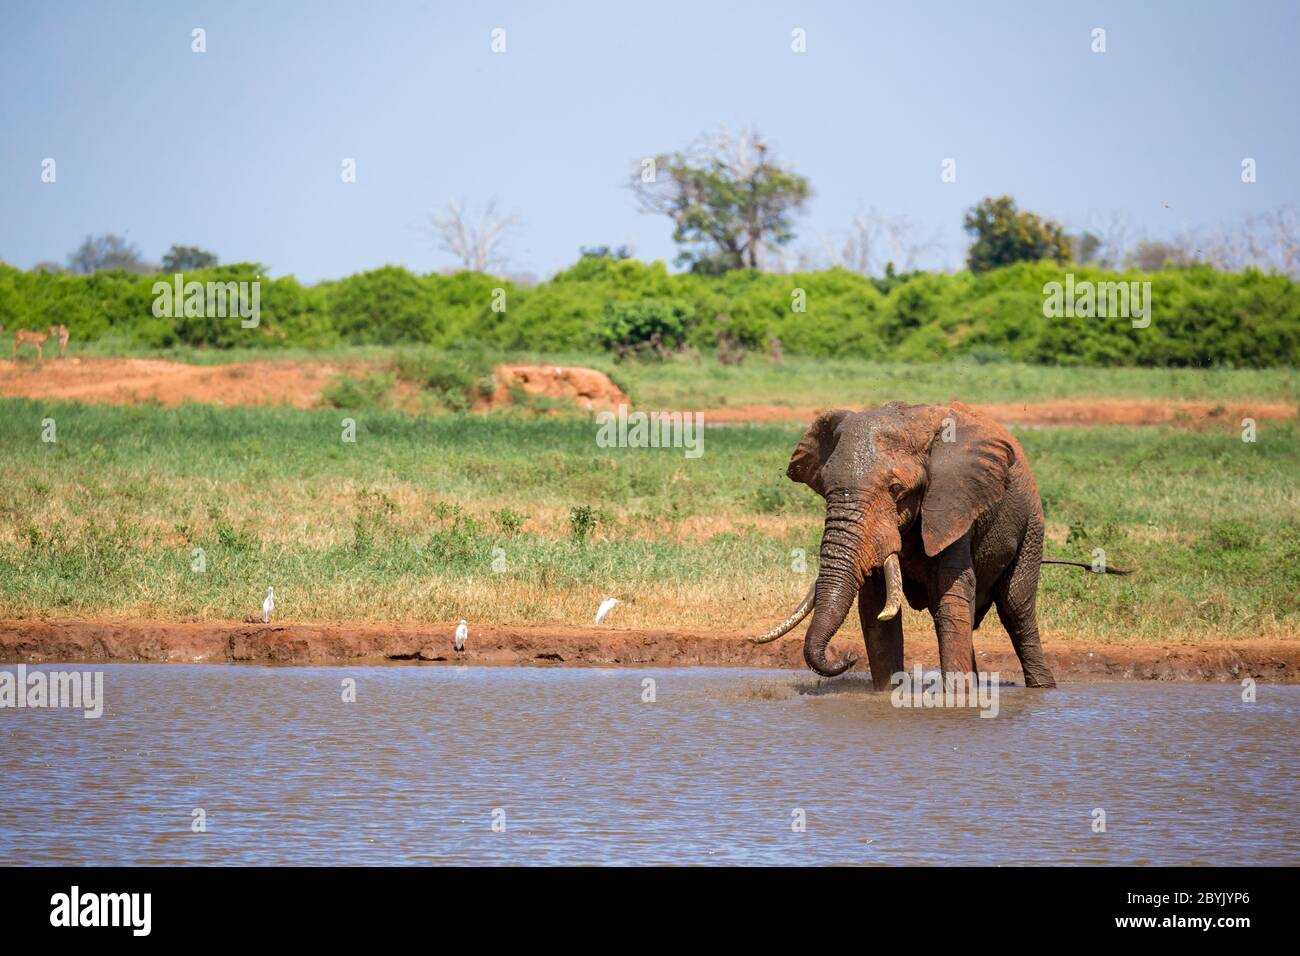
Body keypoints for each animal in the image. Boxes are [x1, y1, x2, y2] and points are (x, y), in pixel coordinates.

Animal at [754, 400, 1127, 689]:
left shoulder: (954, 501)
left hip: (1032, 525)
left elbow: (951, 592)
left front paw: (955, 699)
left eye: (896, 490)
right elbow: (875, 609)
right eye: (826, 488)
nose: (847, 656)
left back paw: (1041, 688)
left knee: (1016, 608)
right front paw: (887, 695)